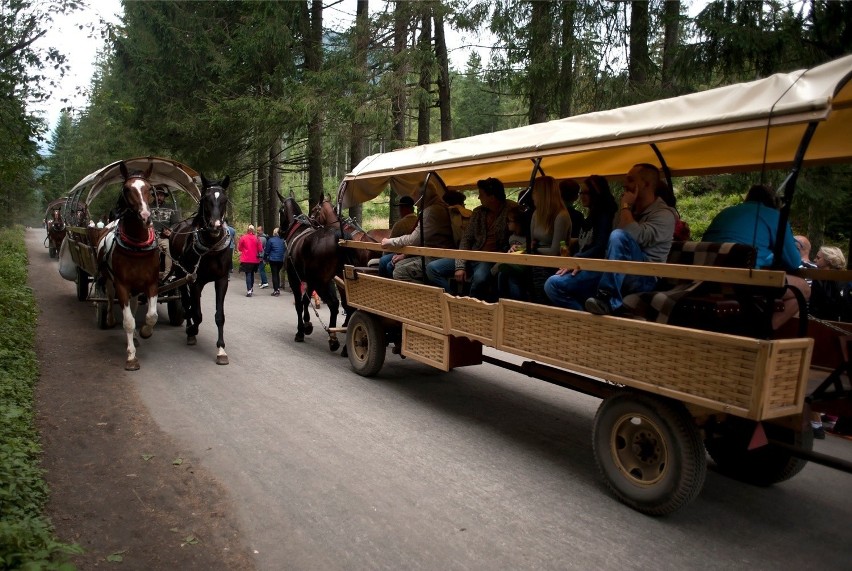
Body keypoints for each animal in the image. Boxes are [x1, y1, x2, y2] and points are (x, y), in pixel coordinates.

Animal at [94, 163, 161, 374]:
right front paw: (131, 358)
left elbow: (151, 315)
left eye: (149, 189)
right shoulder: (122, 285)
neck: (137, 246)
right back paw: (109, 318)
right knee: (108, 296)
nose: (146, 216)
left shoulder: (151, 283)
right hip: (109, 279)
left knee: (133, 304)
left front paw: (145, 332)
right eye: (126, 189)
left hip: (136, 286)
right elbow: (128, 322)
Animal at [167, 172, 231, 366]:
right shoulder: (195, 280)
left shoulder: (221, 280)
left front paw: (221, 349)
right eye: (205, 199)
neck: (211, 248)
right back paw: (189, 327)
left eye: (224, 199)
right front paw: (192, 331)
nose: (215, 226)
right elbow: (197, 313)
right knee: (187, 300)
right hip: (181, 274)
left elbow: (219, 316)